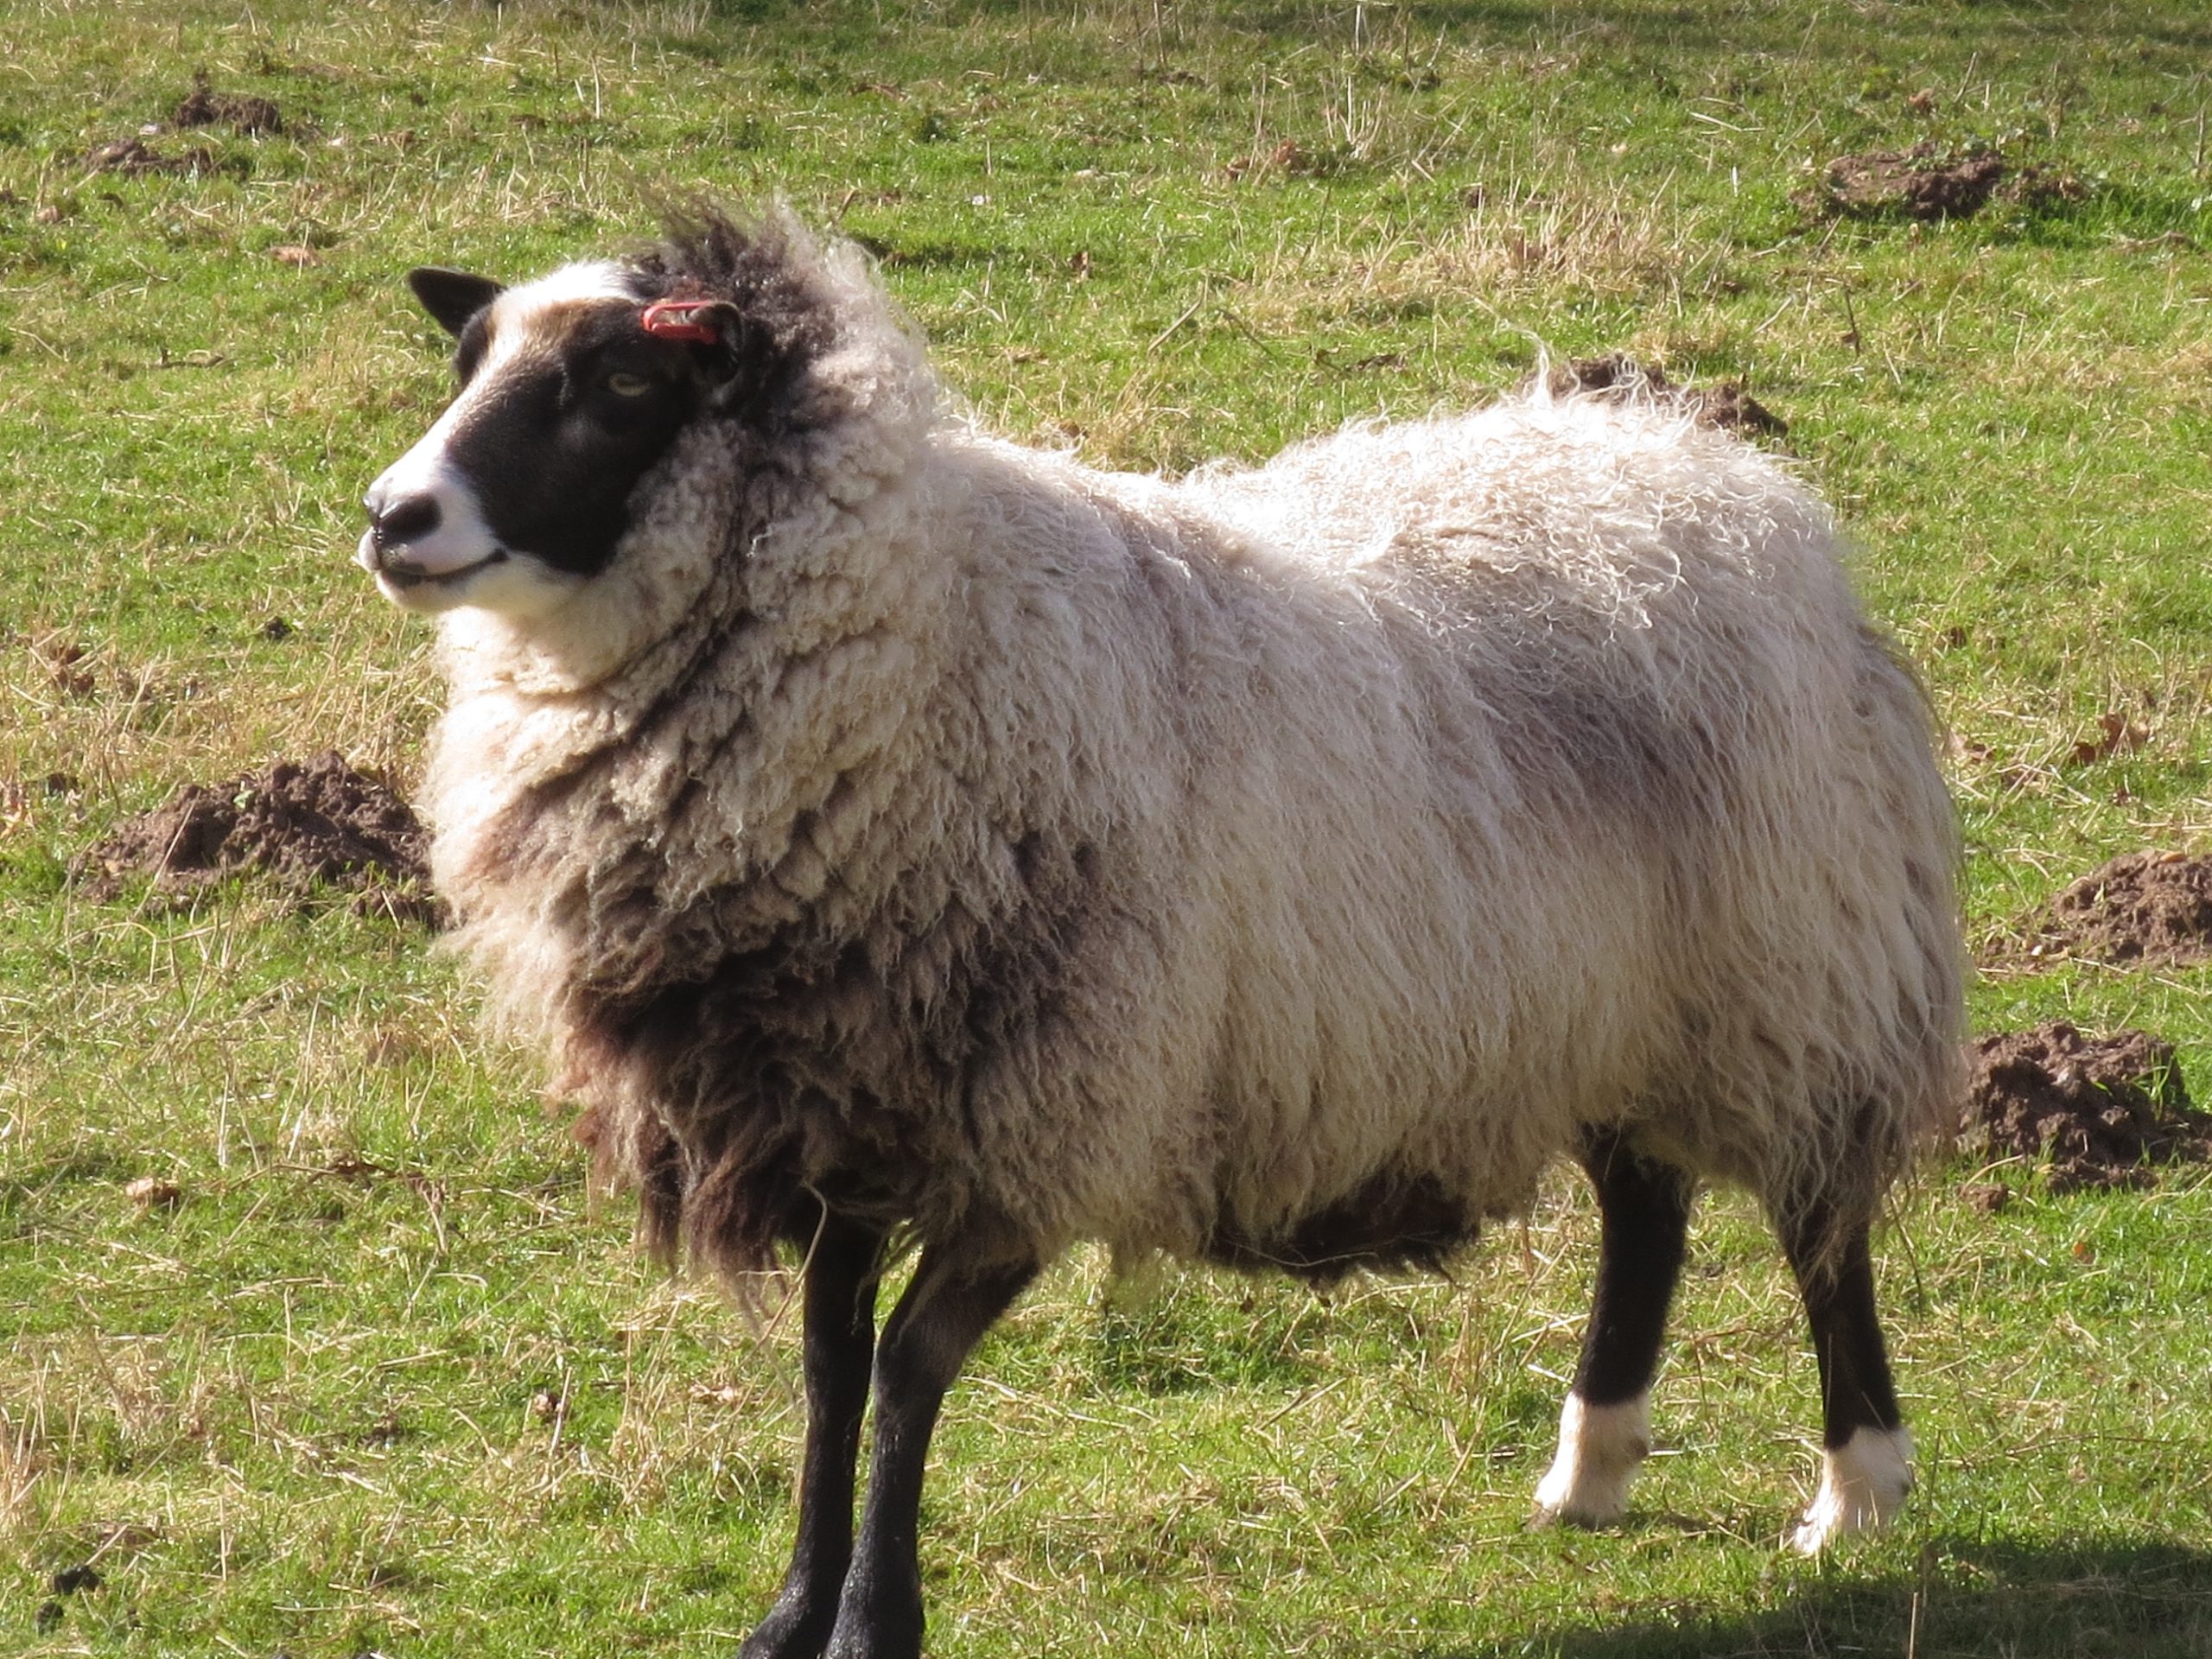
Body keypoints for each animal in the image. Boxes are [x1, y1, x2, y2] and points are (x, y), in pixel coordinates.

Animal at [358, 201, 1964, 1659]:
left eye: (625, 383)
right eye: (469, 357)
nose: (392, 517)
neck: (929, 640)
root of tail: (1709, 468)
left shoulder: (1048, 1117)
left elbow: (905, 1372)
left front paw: (878, 1622)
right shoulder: (850, 1106)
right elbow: (827, 1366)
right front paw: (792, 1616)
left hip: (1791, 970)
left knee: (1820, 1226)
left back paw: (1856, 1489)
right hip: (1617, 1002)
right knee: (1647, 1204)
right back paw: (1593, 1466)